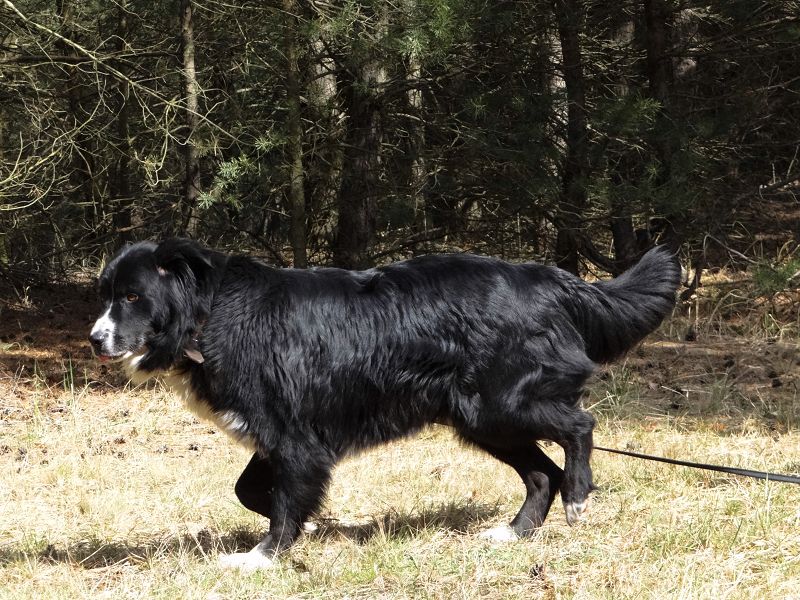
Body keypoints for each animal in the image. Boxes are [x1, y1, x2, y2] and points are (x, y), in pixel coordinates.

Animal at [89, 238, 680, 569]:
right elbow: (254, 490)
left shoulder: (295, 436)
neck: (209, 311)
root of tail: (555, 279)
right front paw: (325, 527)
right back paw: (512, 532)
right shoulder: (281, 437)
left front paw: (262, 558)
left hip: (500, 401)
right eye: (107, 295)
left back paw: (577, 497)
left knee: (580, 426)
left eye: (133, 297)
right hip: (480, 417)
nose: (95, 339)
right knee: (539, 473)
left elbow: (281, 500)